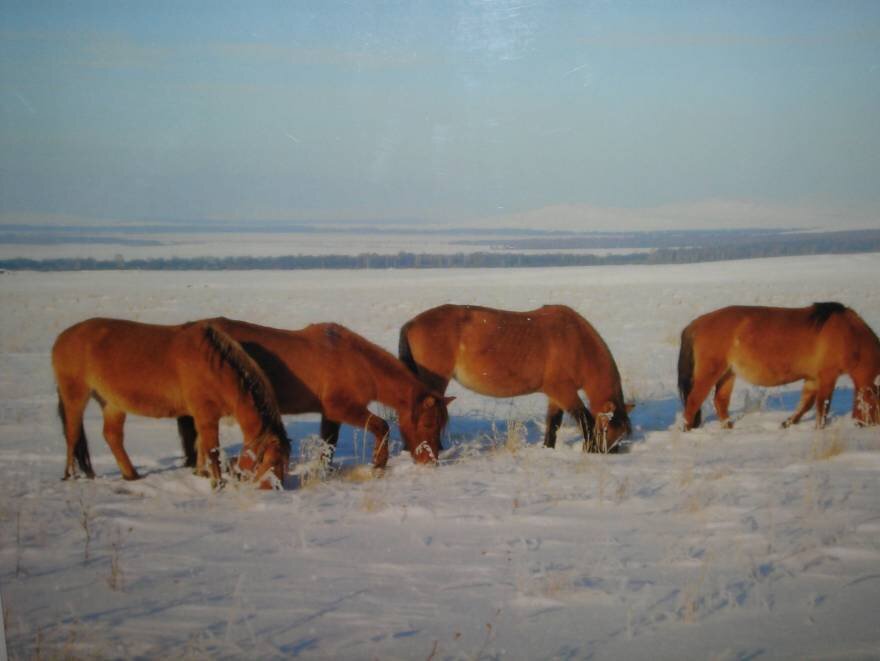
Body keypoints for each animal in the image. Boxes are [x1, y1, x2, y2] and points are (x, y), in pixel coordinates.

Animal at [51, 318, 290, 488]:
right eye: (271, 462)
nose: (274, 489)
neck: (213, 367)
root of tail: (62, 337)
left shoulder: (199, 416)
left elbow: (200, 445)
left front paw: (201, 474)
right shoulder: (206, 415)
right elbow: (211, 449)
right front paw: (217, 482)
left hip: (112, 403)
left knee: (112, 436)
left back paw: (131, 475)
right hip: (75, 396)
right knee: (72, 435)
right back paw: (70, 475)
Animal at [179, 318, 454, 466]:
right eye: (428, 423)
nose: (431, 461)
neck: (357, 361)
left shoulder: (330, 414)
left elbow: (328, 444)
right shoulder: (341, 408)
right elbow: (381, 426)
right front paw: (379, 463)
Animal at [398, 306, 632, 454]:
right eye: (606, 429)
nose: (610, 453)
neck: (575, 341)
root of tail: (411, 323)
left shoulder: (555, 395)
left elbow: (553, 424)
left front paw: (547, 449)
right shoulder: (563, 391)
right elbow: (584, 418)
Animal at [680, 302, 880, 430]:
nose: (873, 425)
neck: (848, 333)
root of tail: (697, 324)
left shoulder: (813, 378)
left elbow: (805, 404)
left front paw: (788, 423)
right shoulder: (827, 376)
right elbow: (823, 406)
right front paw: (819, 429)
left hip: (728, 374)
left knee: (720, 401)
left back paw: (728, 427)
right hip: (710, 373)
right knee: (693, 402)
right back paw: (687, 430)